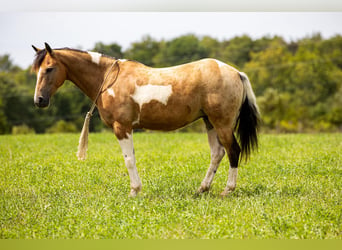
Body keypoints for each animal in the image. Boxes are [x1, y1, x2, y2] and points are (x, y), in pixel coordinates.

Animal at [32, 42, 260, 197]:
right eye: (36, 71)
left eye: (49, 68)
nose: (39, 100)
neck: (108, 78)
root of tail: (235, 72)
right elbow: (131, 158)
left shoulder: (122, 128)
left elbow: (129, 160)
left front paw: (134, 191)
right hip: (210, 122)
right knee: (217, 153)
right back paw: (201, 189)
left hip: (222, 124)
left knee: (233, 151)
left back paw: (227, 190)